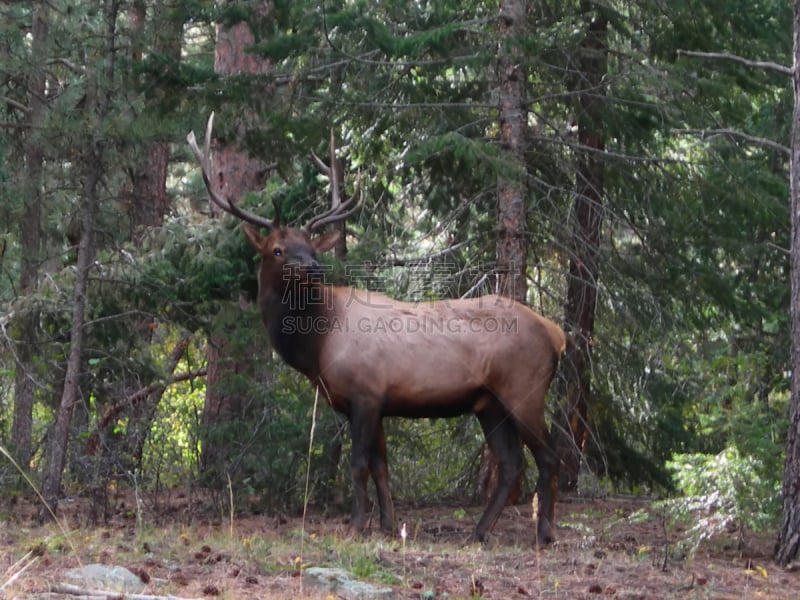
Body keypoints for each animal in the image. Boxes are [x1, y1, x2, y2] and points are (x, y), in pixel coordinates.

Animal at [188, 115, 564, 548]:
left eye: (311, 248)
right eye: (278, 250)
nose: (314, 268)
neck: (316, 346)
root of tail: (557, 334)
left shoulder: (365, 393)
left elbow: (358, 465)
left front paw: (355, 525)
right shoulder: (376, 402)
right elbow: (381, 467)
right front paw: (386, 525)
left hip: (525, 389)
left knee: (549, 456)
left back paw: (544, 533)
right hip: (490, 403)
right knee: (511, 462)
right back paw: (478, 531)